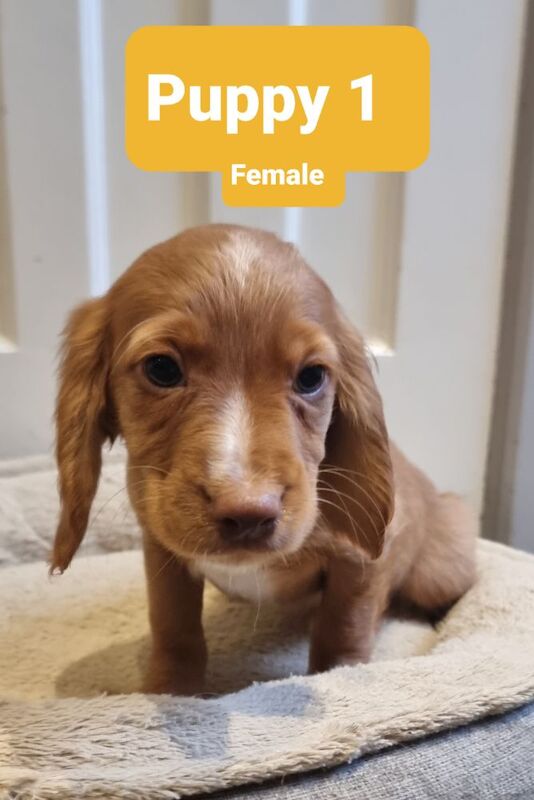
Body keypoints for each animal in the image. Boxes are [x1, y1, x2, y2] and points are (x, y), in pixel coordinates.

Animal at [50, 223, 478, 692]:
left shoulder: (359, 563)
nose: (249, 513)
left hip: (442, 568)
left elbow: (344, 625)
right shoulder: (161, 548)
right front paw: (171, 690)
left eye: (311, 377)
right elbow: (173, 624)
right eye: (161, 368)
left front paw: (340, 678)